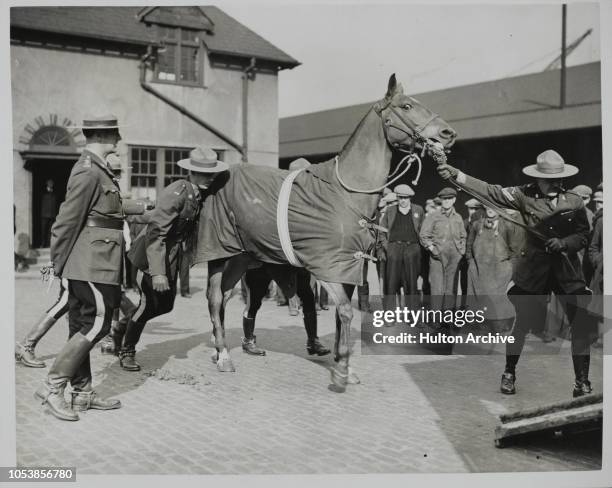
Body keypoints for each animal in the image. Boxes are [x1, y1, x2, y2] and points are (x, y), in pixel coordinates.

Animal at [194, 74, 456, 388]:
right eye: (406, 106)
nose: (448, 133)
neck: (345, 193)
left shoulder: (347, 267)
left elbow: (340, 316)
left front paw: (343, 365)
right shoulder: (327, 266)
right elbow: (345, 311)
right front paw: (341, 370)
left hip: (242, 258)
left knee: (224, 297)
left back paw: (218, 348)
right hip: (221, 254)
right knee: (215, 298)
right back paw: (223, 356)